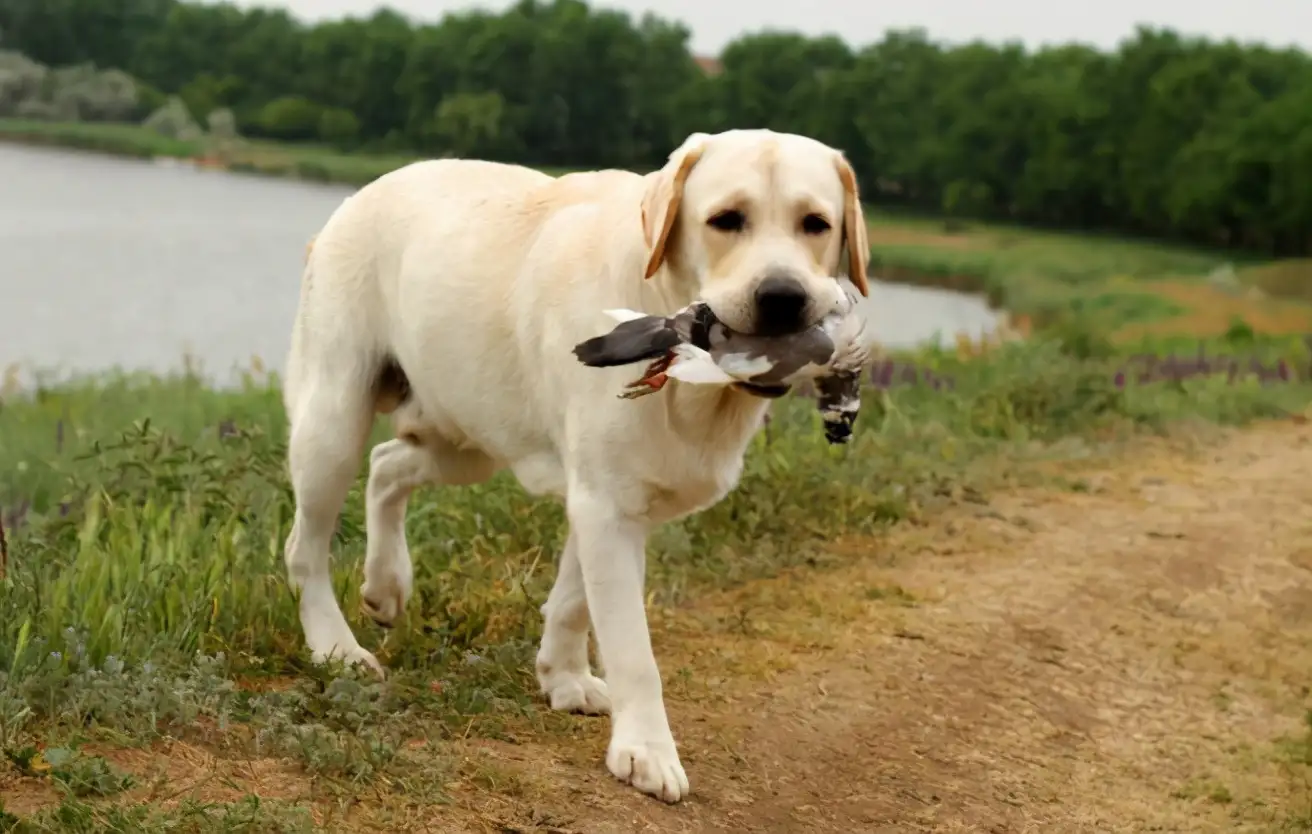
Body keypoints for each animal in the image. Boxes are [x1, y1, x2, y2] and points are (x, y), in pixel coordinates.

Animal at [282, 128, 865, 802]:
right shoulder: (606, 503)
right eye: (726, 220)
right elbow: (631, 645)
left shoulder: (605, 500)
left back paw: (385, 585)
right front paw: (647, 749)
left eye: (816, 224)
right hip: (333, 421)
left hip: (466, 443)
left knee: (386, 466)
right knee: (306, 546)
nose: (782, 298)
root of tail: (362, 192)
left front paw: (563, 678)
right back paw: (336, 646)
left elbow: (573, 600)